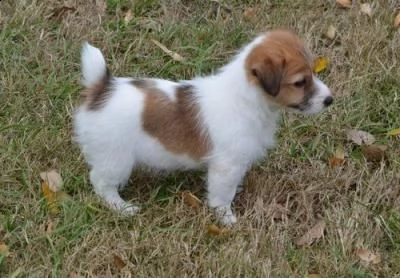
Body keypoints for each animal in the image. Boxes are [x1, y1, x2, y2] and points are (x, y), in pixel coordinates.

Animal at [73, 28, 332, 225]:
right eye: (300, 82)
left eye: (313, 73)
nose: (330, 100)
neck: (245, 99)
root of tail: (102, 89)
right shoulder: (226, 165)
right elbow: (222, 194)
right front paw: (226, 217)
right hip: (115, 158)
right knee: (101, 182)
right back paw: (121, 207)